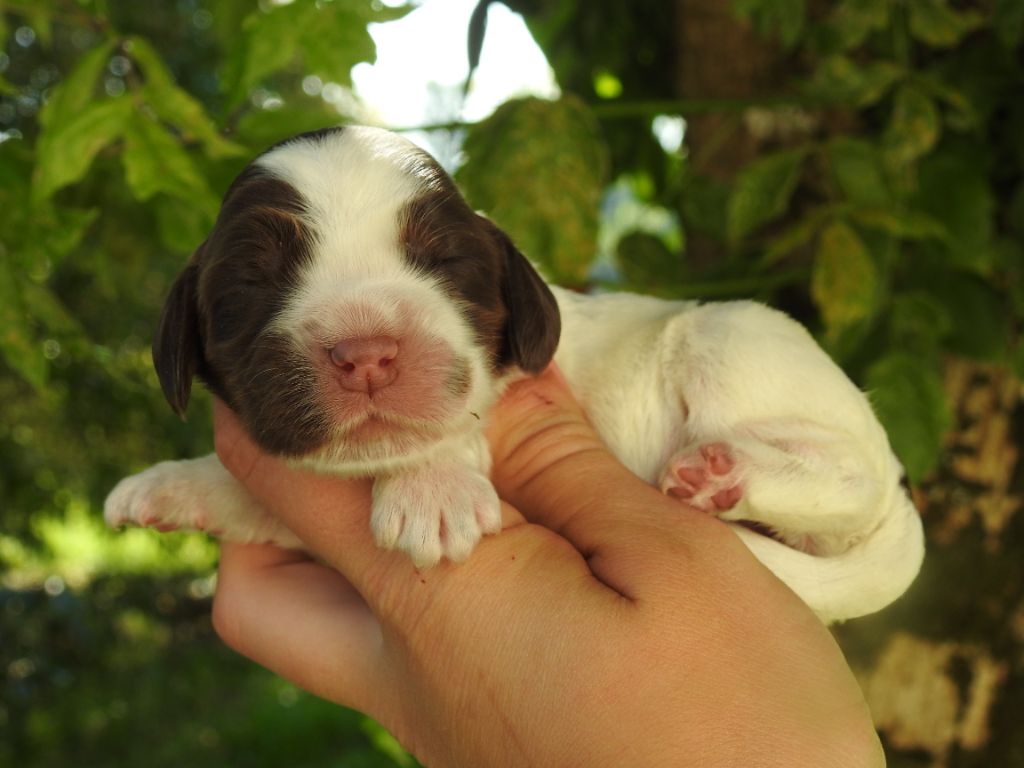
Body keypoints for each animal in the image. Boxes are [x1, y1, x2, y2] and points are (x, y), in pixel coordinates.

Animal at [105, 124, 929, 626]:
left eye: (443, 261)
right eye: (253, 282)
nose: (367, 353)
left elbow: (466, 426)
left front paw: (432, 486)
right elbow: (252, 497)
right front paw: (169, 486)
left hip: (733, 339)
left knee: (854, 480)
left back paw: (726, 470)